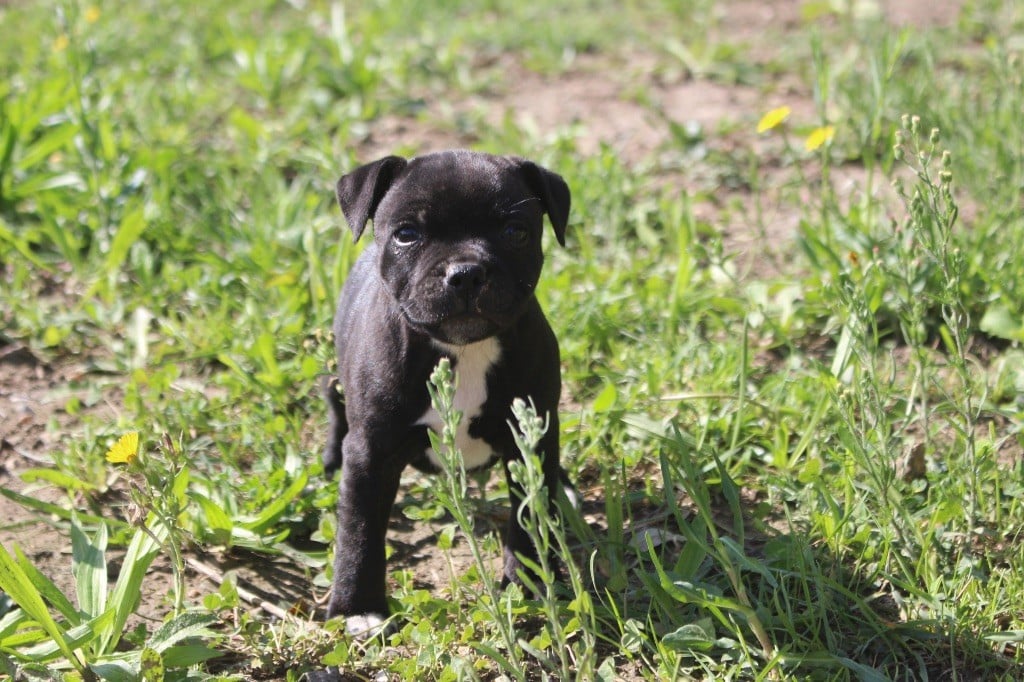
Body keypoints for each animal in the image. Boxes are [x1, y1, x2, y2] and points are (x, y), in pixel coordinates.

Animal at [323, 148, 573, 630]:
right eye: (406, 234)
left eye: (515, 233)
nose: (466, 273)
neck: (462, 350)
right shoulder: (370, 452)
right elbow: (359, 529)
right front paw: (359, 606)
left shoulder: (529, 440)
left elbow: (528, 519)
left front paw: (528, 585)